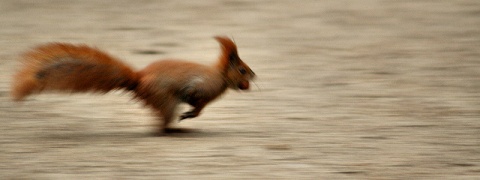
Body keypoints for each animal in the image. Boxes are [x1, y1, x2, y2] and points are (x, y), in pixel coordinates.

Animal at [10, 36, 255, 134]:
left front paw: (191, 114)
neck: (219, 77)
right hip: (165, 100)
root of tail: (138, 81)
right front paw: (190, 114)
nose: (253, 76)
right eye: (242, 70)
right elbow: (197, 102)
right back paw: (175, 128)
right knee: (163, 123)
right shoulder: (200, 88)